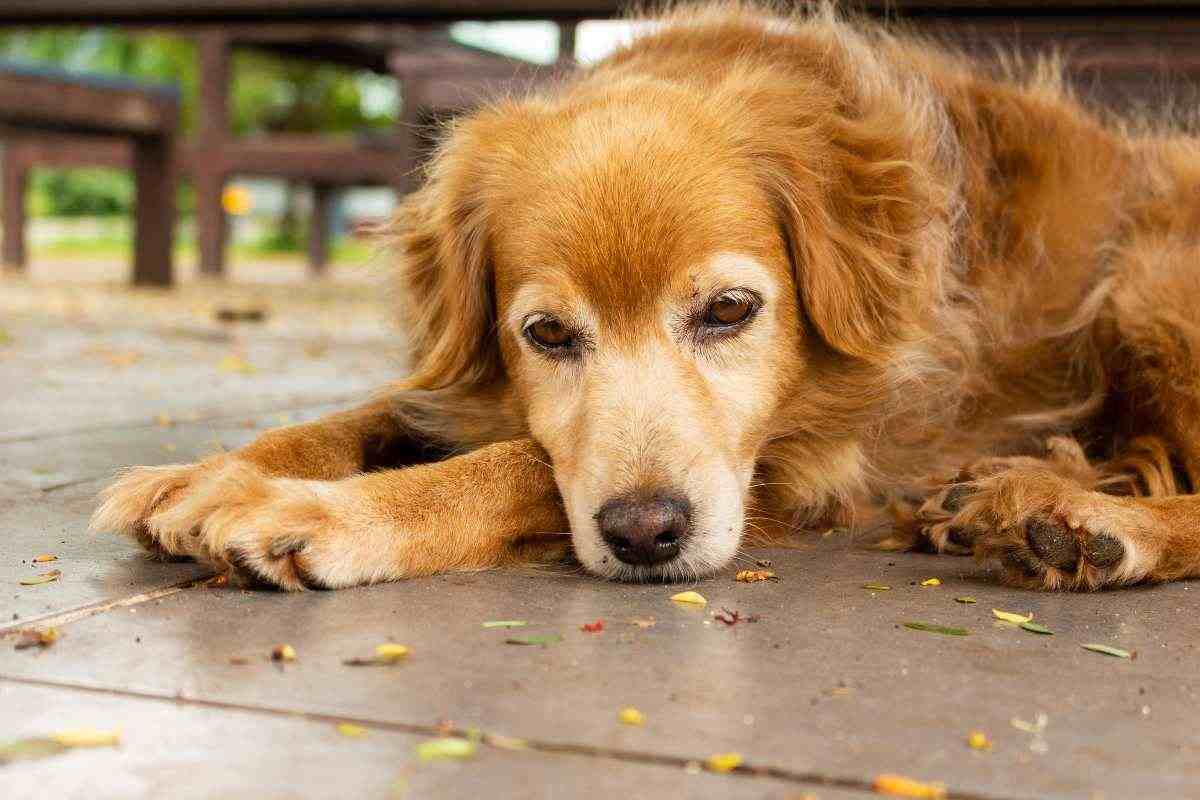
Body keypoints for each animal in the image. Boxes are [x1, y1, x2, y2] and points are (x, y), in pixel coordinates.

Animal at [91, 3, 1200, 592]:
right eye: (545, 333)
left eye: (730, 311)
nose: (643, 534)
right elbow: (370, 414)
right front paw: (208, 473)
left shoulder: (810, 458)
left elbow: (518, 465)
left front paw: (315, 511)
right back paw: (1002, 491)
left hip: (1146, 282)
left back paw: (1086, 523)